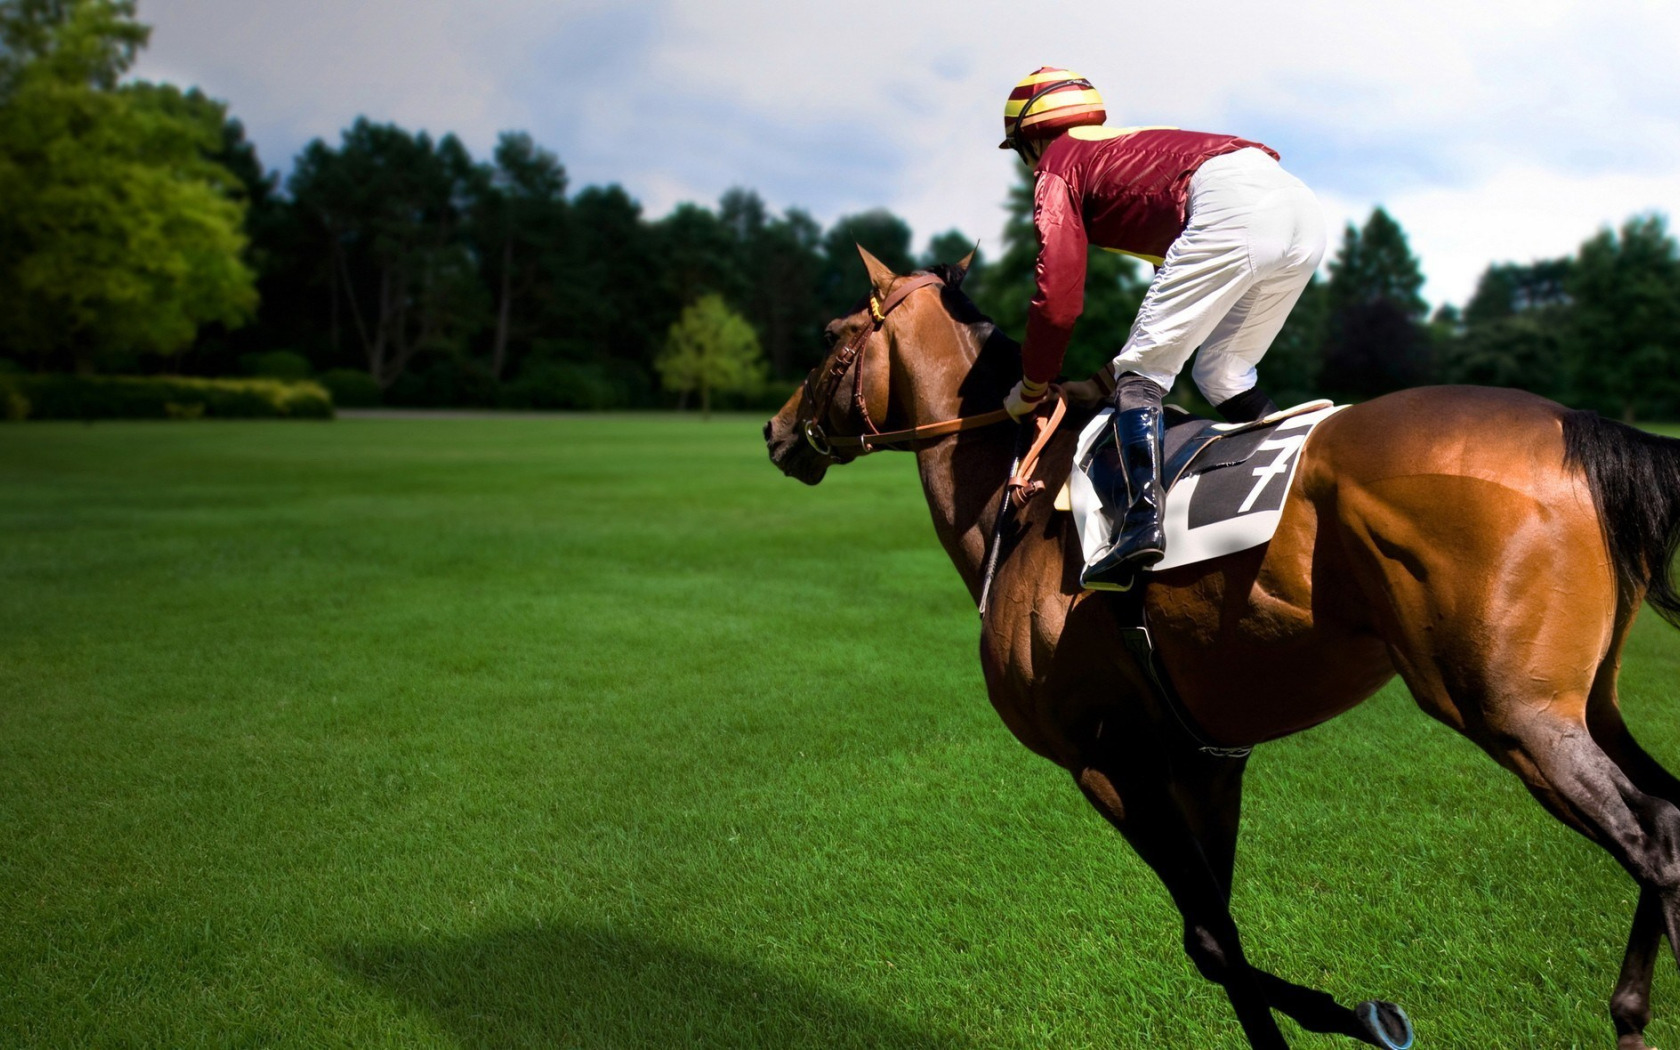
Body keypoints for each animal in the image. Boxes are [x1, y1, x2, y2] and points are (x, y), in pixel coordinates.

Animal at [769, 246, 1680, 1048]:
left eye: (831, 334)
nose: (778, 432)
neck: (1016, 496)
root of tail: (1578, 425)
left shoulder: (1107, 758)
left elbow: (1208, 941)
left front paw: (1366, 1019)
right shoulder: (1204, 758)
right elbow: (1220, 936)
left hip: (1511, 710)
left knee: (1655, 835)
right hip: (1584, 702)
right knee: (1669, 805)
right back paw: (1629, 1014)